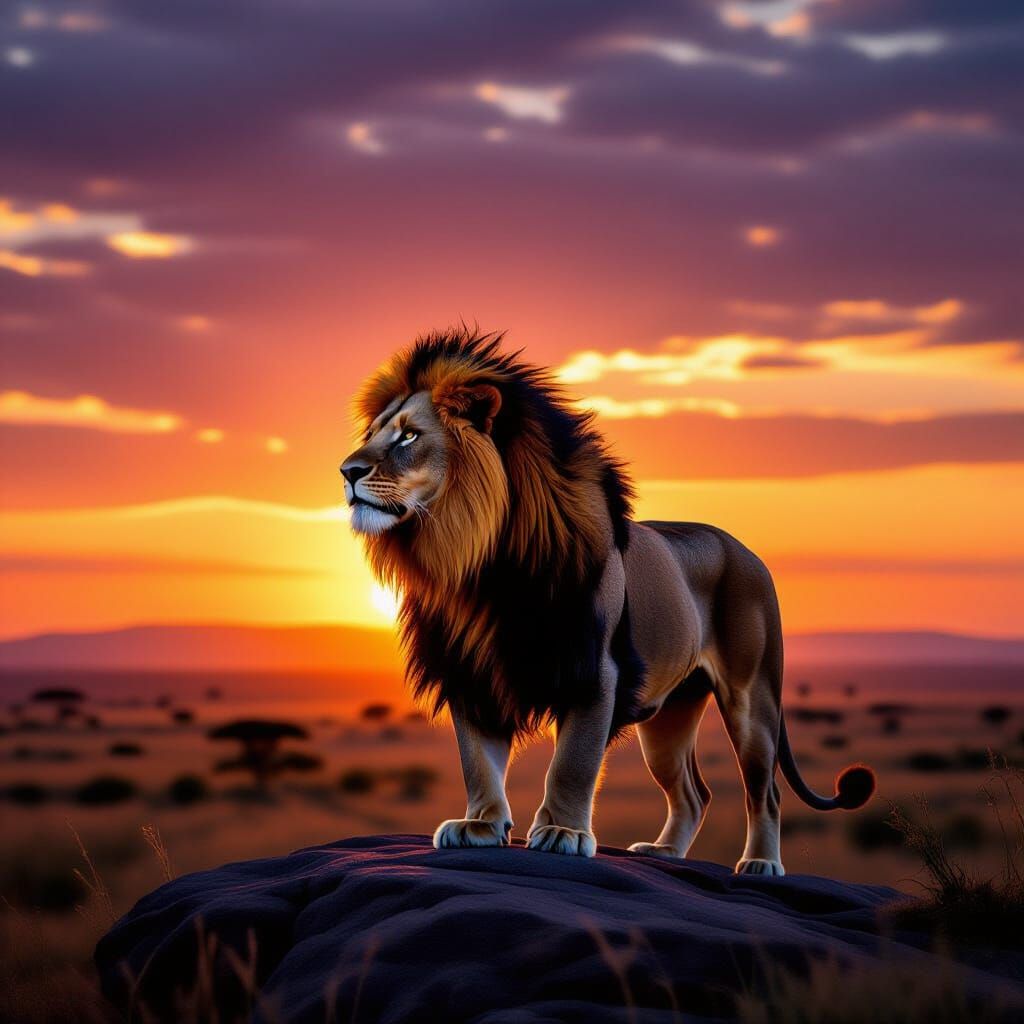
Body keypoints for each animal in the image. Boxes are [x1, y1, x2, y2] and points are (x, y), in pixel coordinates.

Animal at [341, 328, 874, 874]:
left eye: (409, 436)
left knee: (764, 791)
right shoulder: (470, 670)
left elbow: (572, 763)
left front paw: (563, 832)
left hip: (752, 699)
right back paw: (664, 852)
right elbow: (477, 760)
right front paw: (481, 825)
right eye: (374, 433)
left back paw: (760, 864)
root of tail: (747, 550)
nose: (347, 470)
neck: (478, 562)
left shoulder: (594, 671)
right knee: (693, 793)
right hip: (669, 716)